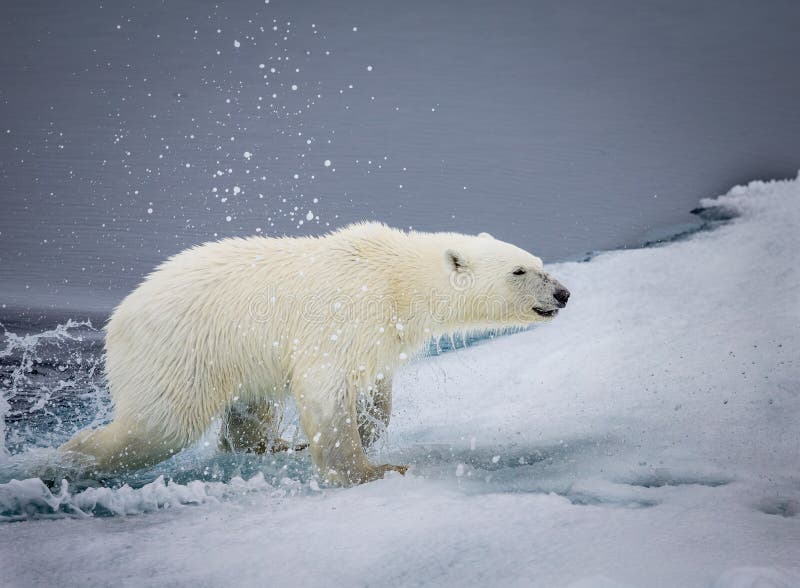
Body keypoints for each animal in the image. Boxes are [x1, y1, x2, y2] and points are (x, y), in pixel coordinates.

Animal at [65, 223, 572, 484]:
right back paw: (64, 462)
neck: (395, 279)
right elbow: (325, 389)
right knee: (158, 427)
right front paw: (372, 469)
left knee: (249, 410)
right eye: (519, 271)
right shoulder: (342, 314)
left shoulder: (379, 332)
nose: (564, 293)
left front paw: (366, 429)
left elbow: (376, 388)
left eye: (540, 264)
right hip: (179, 353)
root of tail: (118, 319)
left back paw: (274, 444)